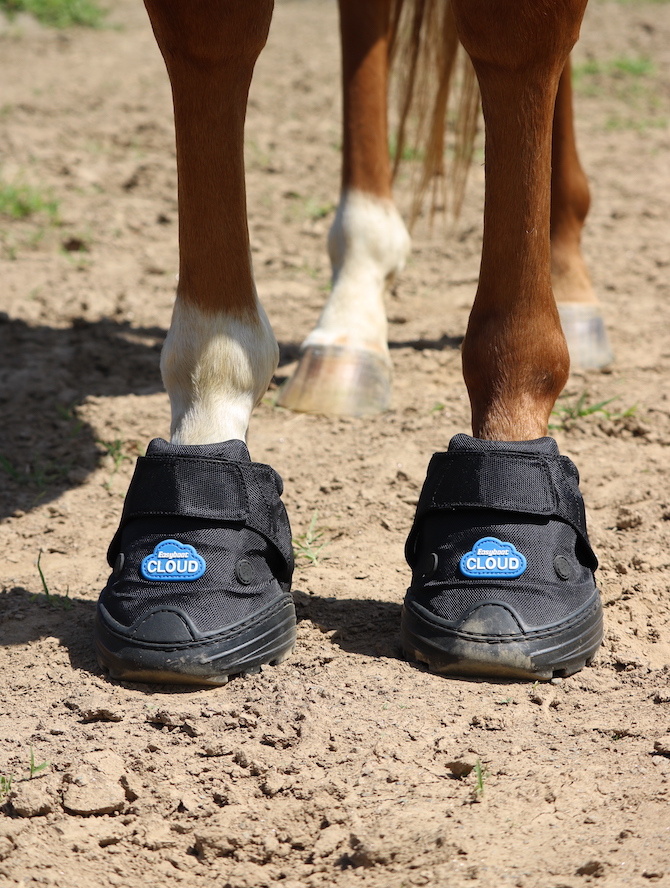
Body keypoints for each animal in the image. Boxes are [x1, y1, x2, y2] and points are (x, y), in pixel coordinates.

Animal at [94, 0, 605, 686]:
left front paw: (515, 411)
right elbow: (210, 39)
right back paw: (351, 329)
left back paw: (571, 275)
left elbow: (518, 43)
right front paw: (210, 418)